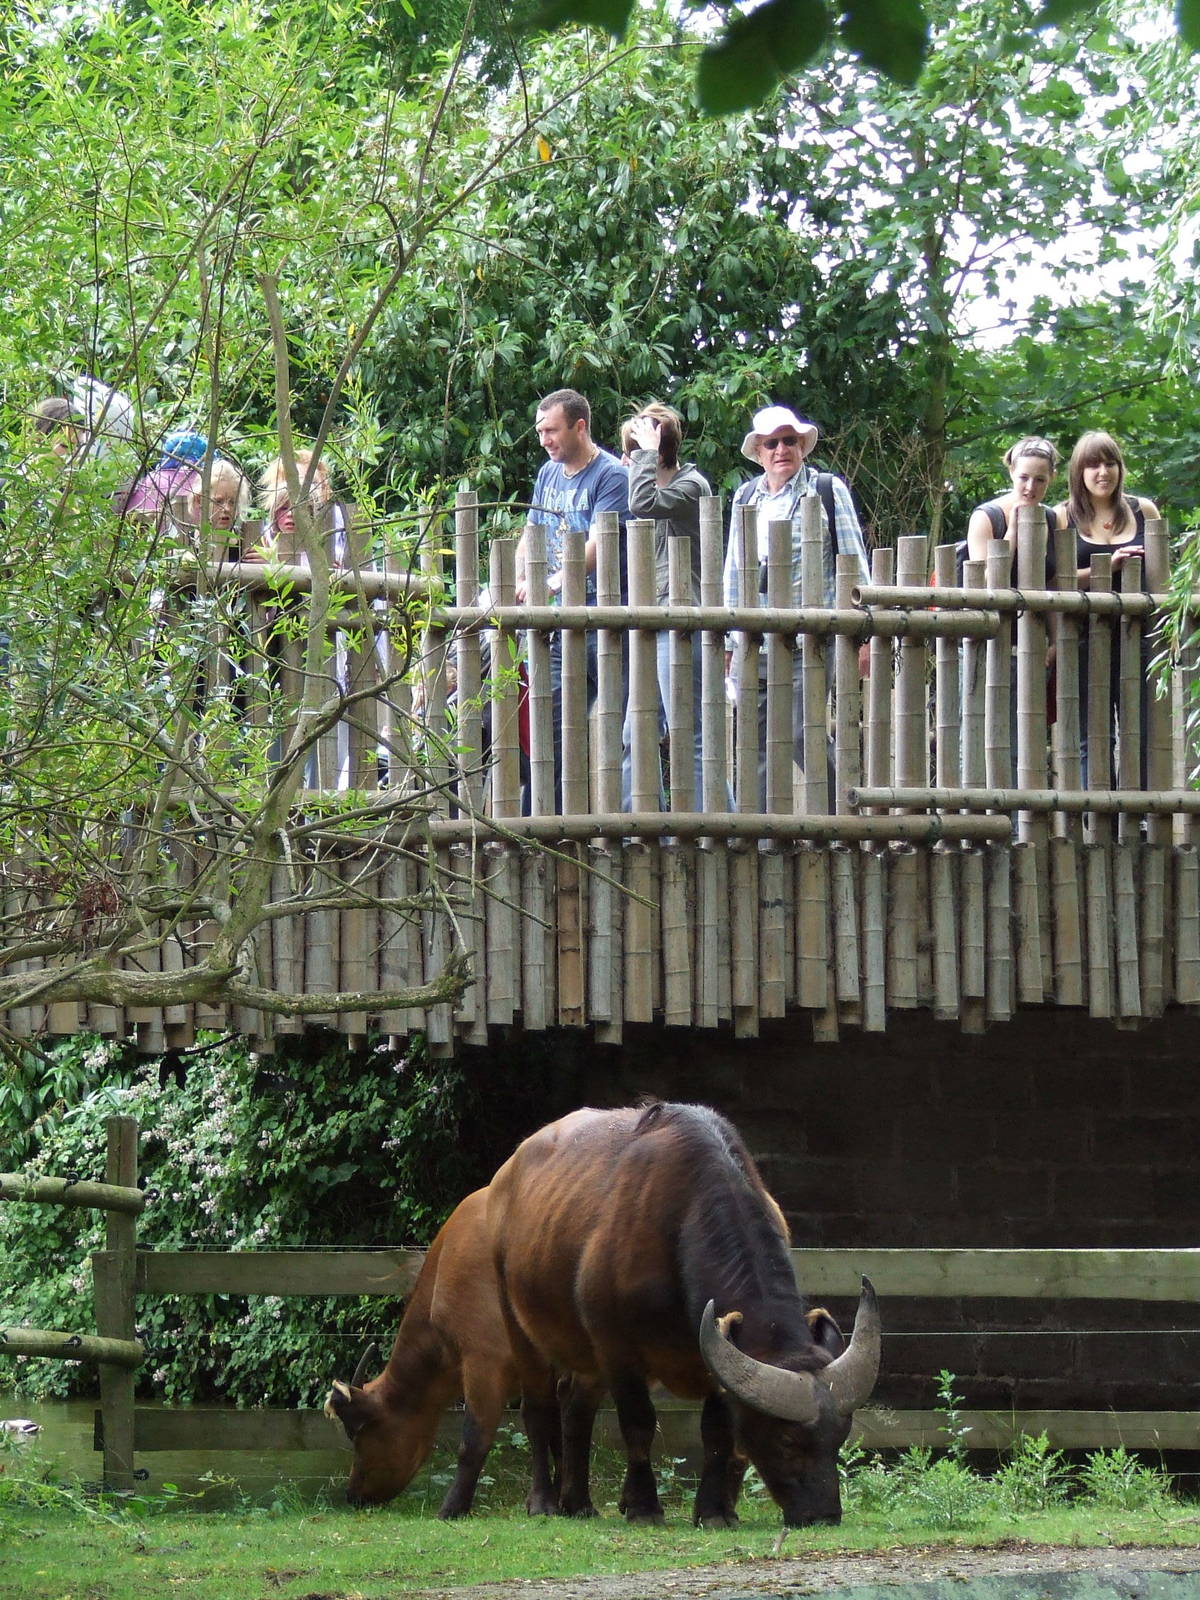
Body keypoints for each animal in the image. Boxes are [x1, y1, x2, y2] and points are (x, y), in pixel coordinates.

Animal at [488, 1101, 880, 1528]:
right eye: (787, 1440)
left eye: (839, 1436)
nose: (823, 1514)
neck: (678, 1221)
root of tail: (506, 1176)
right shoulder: (617, 1349)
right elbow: (639, 1423)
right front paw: (644, 1506)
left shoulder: (713, 1356)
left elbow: (717, 1433)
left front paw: (714, 1511)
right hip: (520, 1326)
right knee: (538, 1407)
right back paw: (544, 1500)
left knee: (576, 1405)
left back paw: (577, 1502)